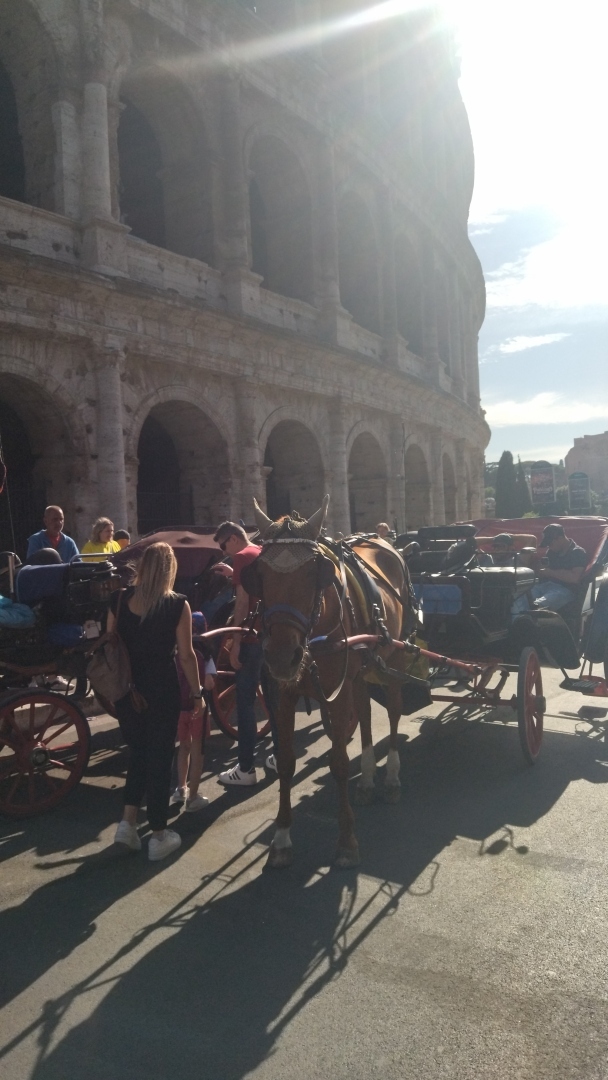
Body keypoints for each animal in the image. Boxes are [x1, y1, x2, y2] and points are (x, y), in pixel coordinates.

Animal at [243, 495, 419, 869]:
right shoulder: (283, 694)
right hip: (361, 670)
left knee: (394, 712)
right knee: (365, 713)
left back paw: (391, 776)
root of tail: (386, 542)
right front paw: (281, 838)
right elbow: (285, 763)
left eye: (315, 573)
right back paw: (366, 780)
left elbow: (337, 762)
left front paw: (347, 841)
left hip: (395, 657)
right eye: (258, 574)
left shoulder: (336, 695)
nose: (281, 656)